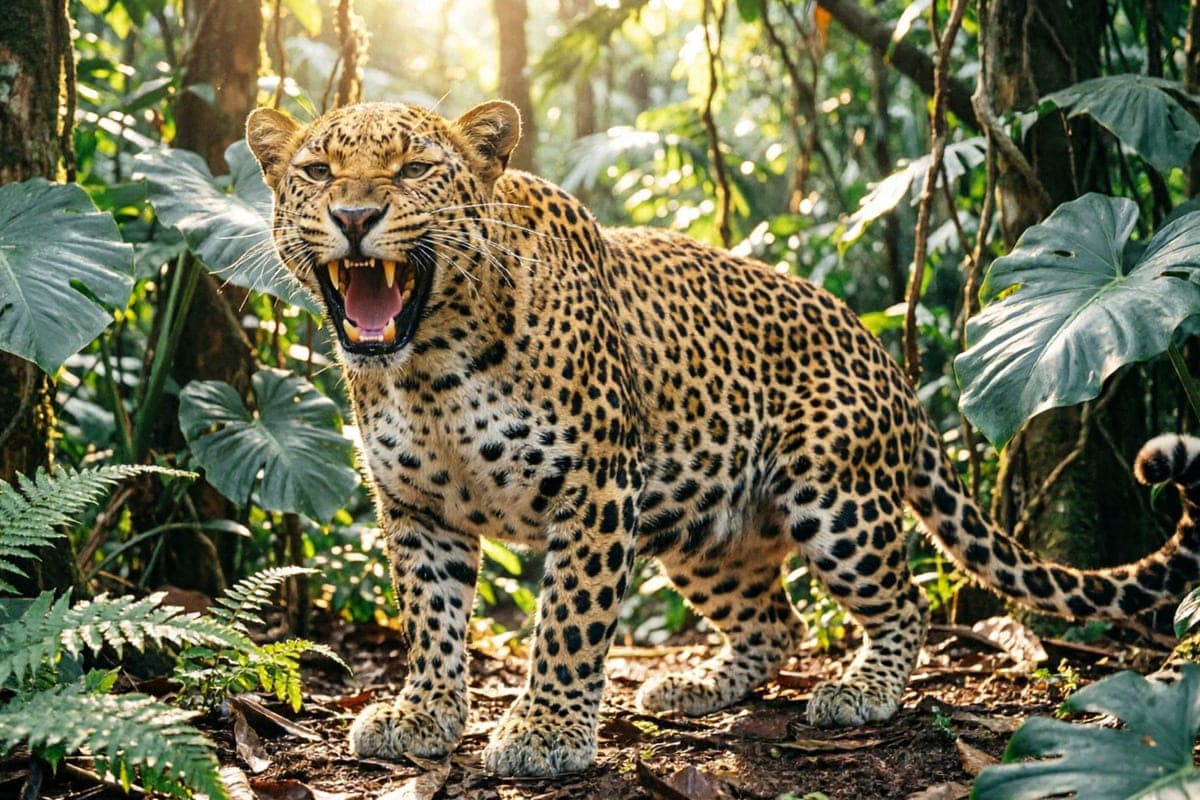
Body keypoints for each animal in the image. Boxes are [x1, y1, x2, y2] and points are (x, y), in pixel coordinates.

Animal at [245, 99, 1200, 777]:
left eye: (414, 169)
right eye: (318, 170)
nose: (356, 215)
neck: (429, 366)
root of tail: (885, 360)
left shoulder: (595, 488)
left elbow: (569, 623)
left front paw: (546, 731)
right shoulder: (416, 508)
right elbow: (431, 618)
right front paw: (424, 712)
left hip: (835, 497)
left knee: (902, 602)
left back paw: (861, 690)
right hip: (705, 533)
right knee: (777, 621)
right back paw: (696, 683)